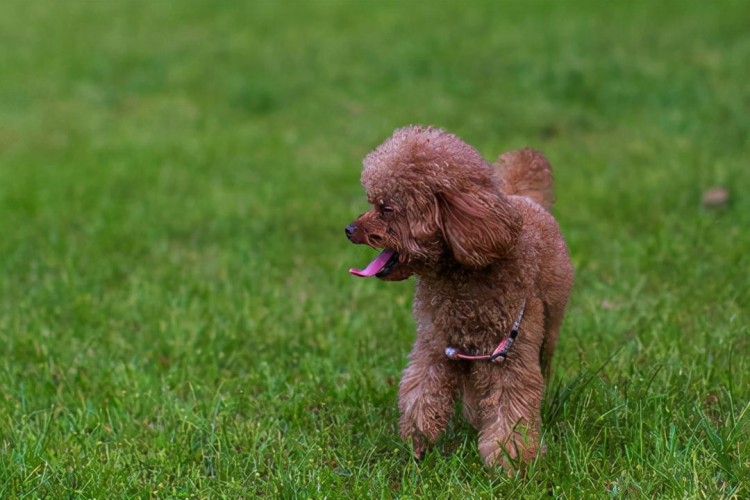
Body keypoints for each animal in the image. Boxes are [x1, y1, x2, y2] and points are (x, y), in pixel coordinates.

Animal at [348, 125, 576, 468]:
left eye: (387, 209)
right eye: (373, 203)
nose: (349, 229)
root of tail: (522, 196)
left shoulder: (510, 353)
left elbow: (512, 406)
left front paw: (511, 459)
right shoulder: (435, 346)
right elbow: (420, 391)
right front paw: (417, 442)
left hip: (547, 329)